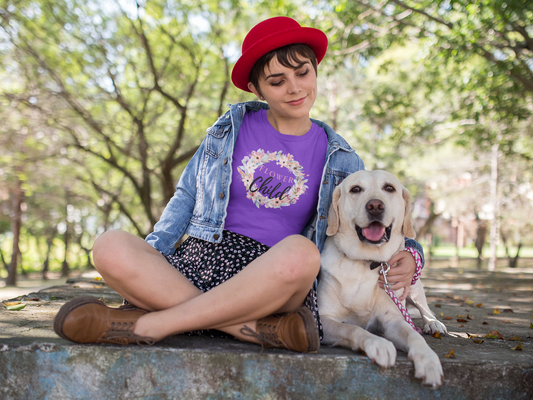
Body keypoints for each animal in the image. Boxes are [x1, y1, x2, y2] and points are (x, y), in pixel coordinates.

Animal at [320, 170, 444, 388]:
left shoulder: (393, 319)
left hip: (414, 287)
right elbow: (352, 328)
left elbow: (414, 335)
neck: (366, 262)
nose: (375, 206)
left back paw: (433, 323)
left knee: (424, 309)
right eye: (355, 189)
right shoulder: (323, 320)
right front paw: (378, 343)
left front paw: (428, 359)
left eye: (389, 188)